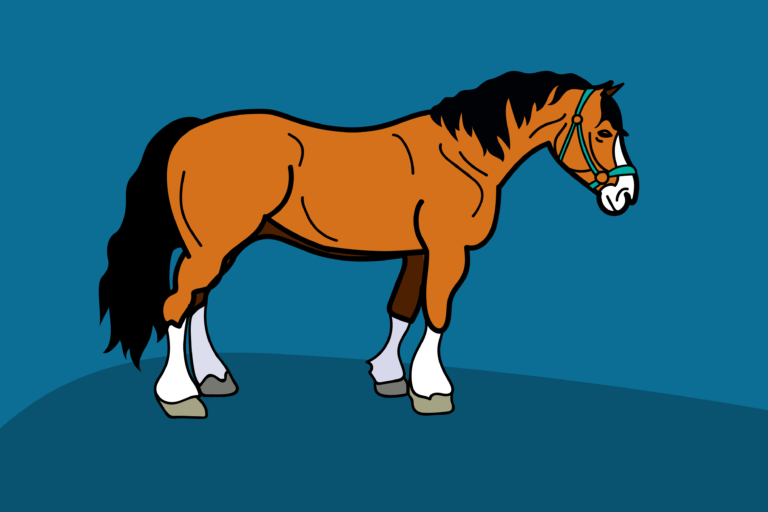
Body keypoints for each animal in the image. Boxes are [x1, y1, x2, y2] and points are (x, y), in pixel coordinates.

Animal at [99, 71, 638, 419]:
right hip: (213, 246)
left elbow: (403, 308)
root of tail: (192, 131)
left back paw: (212, 377)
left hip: (218, 246)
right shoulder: (448, 251)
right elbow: (437, 312)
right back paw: (179, 394)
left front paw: (390, 376)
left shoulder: (418, 252)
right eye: (603, 132)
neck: (463, 156)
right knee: (175, 304)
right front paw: (432, 388)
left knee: (197, 303)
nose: (625, 194)